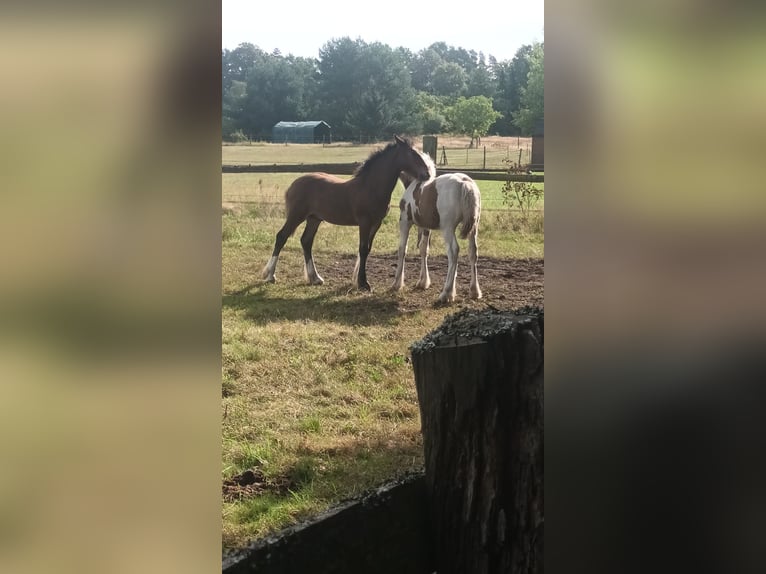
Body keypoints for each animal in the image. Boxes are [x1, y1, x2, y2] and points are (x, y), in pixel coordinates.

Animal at [262, 136, 432, 292]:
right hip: (296, 215)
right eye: (411, 154)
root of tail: (293, 185)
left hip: (314, 219)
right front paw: (364, 284)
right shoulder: (364, 222)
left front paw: (361, 281)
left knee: (306, 241)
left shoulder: (376, 223)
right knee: (281, 236)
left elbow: (367, 249)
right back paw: (270, 275)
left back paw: (315, 278)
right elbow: (362, 249)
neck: (370, 187)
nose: (427, 174)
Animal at [392, 153, 484, 306]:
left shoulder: (405, 221)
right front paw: (423, 282)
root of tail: (465, 184)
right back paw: (474, 291)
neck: (414, 183)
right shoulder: (425, 227)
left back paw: (446, 293)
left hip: (448, 228)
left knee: (453, 252)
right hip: (473, 228)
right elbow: (423, 249)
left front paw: (397, 284)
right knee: (473, 253)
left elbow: (402, 249)